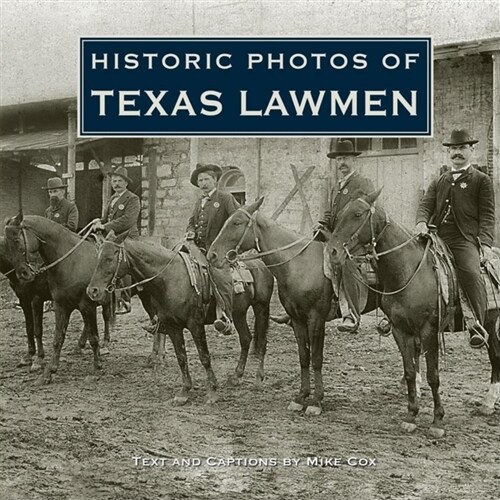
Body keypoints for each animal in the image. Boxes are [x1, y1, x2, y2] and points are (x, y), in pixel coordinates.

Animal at [3, 213, 118, 384]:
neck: (71, 262)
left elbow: (94, 337)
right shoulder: (61, 305)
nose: (23, 273)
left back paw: (105, 345)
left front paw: (97, 366)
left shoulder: (86, 305)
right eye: (7, 245)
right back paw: (79, 346)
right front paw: (49, 372)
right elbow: (57, 338)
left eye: (17, 240)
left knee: (105, 317)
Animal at [86, 230, 274, 406]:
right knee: (246, 339)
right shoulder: (172, 327)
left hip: (261, 308)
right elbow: (181, 357)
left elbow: (204, 357)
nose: (92, 290)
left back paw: (259, 378)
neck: (170, 278)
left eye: (109, 258)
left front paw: (212, 391)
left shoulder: (195, 325)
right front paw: (184, 391)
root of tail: (261, 264)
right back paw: (236, 376)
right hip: (239, 313)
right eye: (97, 257)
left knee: (262, 342)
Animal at [326, 188, 498, 438]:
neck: (409, 271)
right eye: (339, 215)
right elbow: (409, 371)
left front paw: (437, 422)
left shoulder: (429, 331)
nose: (332, 252)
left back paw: (488, 402)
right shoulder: (401, 330)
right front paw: (411, 416)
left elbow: (433, 376)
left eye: (357, 214)